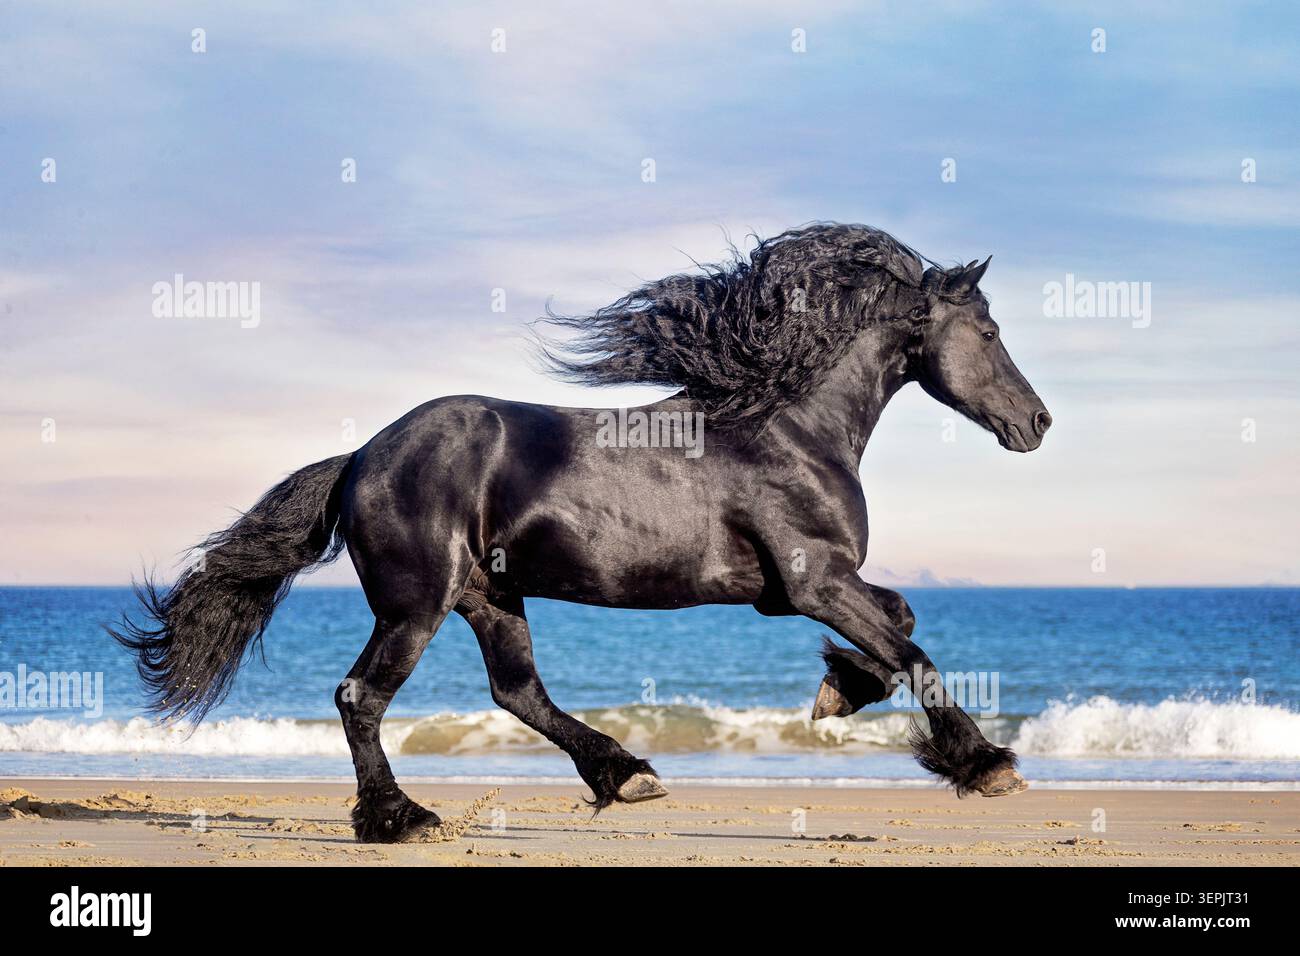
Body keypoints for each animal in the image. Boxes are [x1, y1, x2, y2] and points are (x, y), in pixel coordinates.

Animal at [111, 223, 1053, 843]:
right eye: (990, 331)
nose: (1038, 423)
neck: (788, 425)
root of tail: (361, 457)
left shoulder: (789, 594)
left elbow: (899, 624)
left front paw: (840, 690)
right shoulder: (812, 581)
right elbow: (913, 649)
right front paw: (985, 765)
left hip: (491, 594)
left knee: (516, 691)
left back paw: (626, 775)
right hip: (416, 604)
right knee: (361, 697)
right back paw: (404, 819)